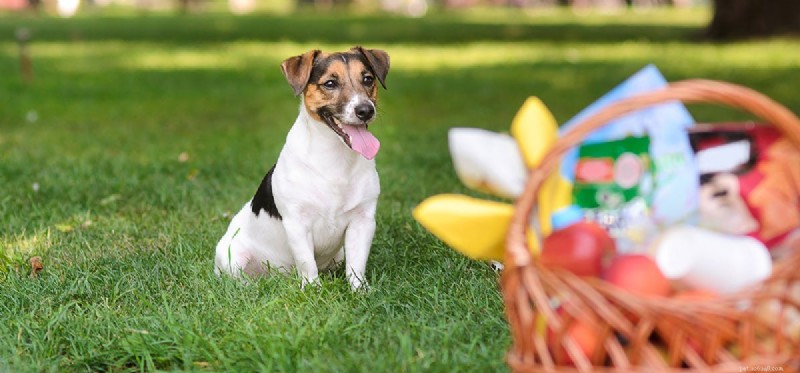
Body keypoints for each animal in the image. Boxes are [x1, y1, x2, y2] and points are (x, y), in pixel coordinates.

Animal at [212, 46, 388, 290]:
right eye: (330, 83)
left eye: (368, 79)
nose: (365, 110)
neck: (335, 158)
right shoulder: (297, 224)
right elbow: (307, 263)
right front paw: (313, 290)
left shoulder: (363, 222)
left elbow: (356, 265)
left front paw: (360, 291)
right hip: (231, 257)